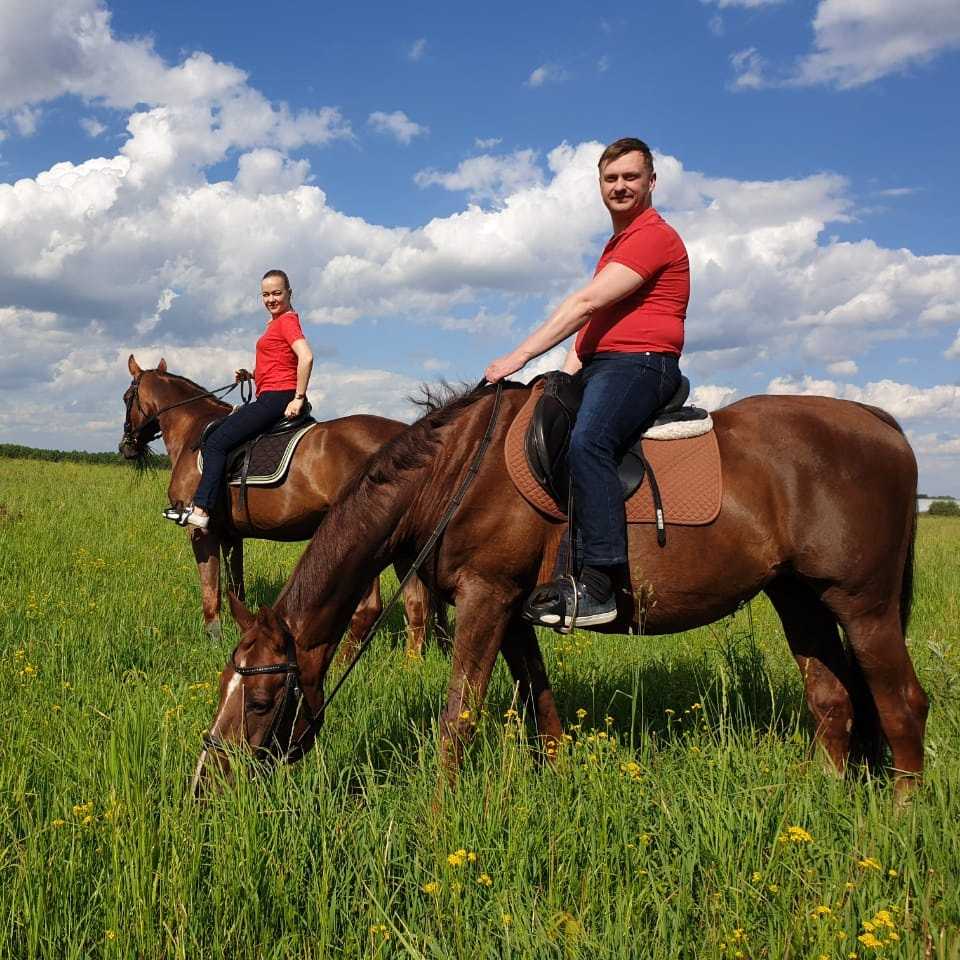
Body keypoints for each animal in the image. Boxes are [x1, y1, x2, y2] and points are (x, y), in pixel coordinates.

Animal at [118, 356, 440, 656]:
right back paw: (410, 663)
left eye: (125, 397)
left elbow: (211, 591)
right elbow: (236, 589)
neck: (193, 431)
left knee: (369, 609)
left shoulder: (201, 532)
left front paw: (214, 640)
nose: (126, 447)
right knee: (417, 605)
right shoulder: (231, 536)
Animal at [191, 378, 928, 800]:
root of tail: (880, 422)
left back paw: (897, 820)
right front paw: (558, 785)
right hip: (800, 598)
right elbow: (540, 707)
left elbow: (459, 714)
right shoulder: (515, 612)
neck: (457, 473)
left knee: (901, 706)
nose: (206, 784)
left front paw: (440, 814)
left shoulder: (487, 600)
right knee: (834, 701)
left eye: (261, 699)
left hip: (864, 606)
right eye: (225, 682)